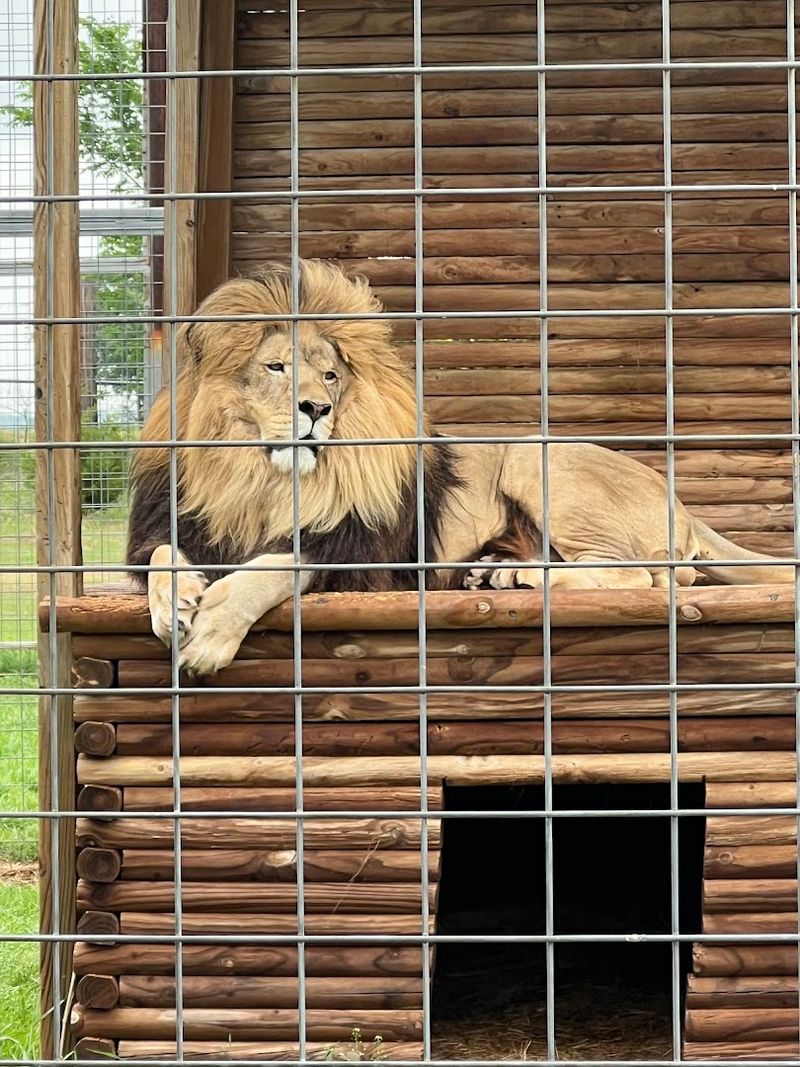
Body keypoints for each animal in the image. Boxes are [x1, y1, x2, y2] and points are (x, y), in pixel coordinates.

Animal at [127, 259, 793, 676]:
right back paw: (499, 575)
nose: (315, 409)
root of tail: (677, 498)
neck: (260, 478)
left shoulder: (365, 557)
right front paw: (174, 603)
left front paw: (211, 630)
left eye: (331, 375)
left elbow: (277, 566)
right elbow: (162, 556)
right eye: (275, 368)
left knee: (650, 579)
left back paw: (518, 579)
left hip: (535, 459)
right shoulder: (173, 520)